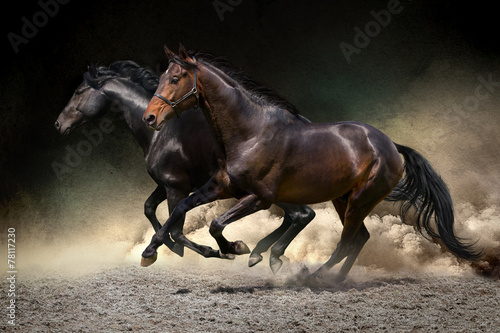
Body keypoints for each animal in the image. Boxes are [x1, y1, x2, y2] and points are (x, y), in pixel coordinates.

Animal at [54, 59, 316, 262]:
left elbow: (176, 229)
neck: (161, 132)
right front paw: (176, 248)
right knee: (299, 215)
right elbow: (149, 208)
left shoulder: (176, 188)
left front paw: (210, 251)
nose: (58, 124)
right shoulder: (167, 185)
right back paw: (262, 253)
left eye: (78, 92)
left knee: (302, 214)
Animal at [140, 45, 480, 280]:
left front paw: (237, 248)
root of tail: (392, 147)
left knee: (346, 242)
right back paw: (335, 280)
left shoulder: (260, 198)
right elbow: (182, 210)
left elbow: (215, 223)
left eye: (175, 78)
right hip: (344, 200)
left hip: (360, 200)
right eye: (162, 77)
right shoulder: (221, 186)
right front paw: (150, 252)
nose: (150, 117)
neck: (250, 132)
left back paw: (316, 276)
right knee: (360, 238)